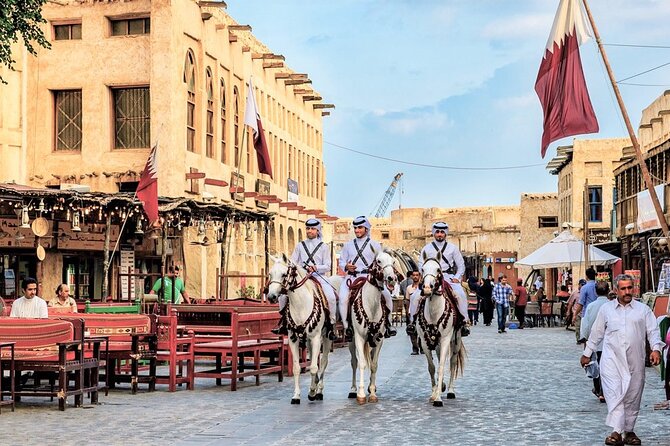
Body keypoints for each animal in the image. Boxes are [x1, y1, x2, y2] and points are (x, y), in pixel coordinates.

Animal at [264, 254, 334, 404]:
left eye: (284, 274)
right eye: (270, 274)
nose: (271, 296)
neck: (301, 304)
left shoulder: (316, 338)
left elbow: (314, 367)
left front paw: (312, 392)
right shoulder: (293, 338)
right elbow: (297, 368)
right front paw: (296, 395)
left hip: (325, 338)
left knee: (323, 362)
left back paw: (319, 390)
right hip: (308, 340)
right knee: (314, 359)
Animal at [346, 251, 400, 404]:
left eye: (393, 262)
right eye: (379, 261)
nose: (392, 278)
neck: (371, 306)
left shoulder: (378, 339)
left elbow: (374, 364)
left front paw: (372, 392)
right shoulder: (359, 338)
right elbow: (362, 363)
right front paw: (361, 394)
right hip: (352, 341)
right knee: (354, 362)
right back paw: (353, 389)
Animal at [418, 256, 470, 406]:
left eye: (438, 269)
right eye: (422, 269)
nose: (427, 289)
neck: (434, 313)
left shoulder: (446, 339)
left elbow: (441, 366)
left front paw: (438, 399)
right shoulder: (424, 342)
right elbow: (432, 367)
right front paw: (434, 392)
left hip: (456, 341)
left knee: (452, 362)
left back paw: (451, 391)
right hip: (437, 343)